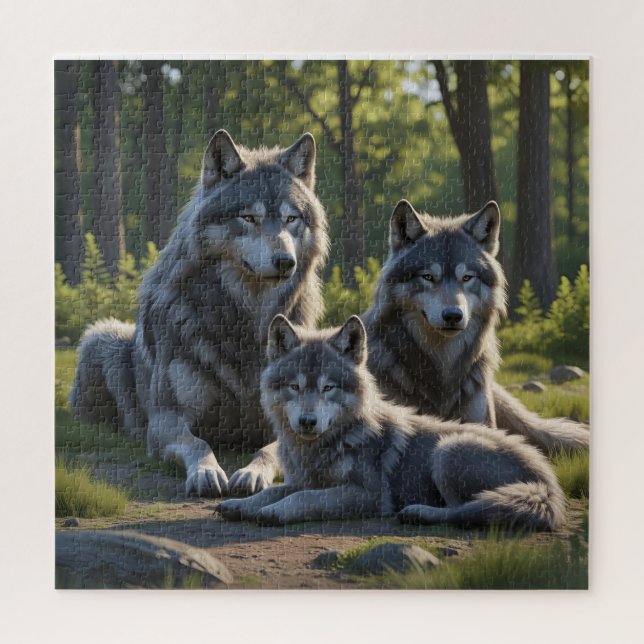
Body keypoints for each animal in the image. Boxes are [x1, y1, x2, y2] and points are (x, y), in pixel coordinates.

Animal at [69, 130, 329, 497]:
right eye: (249, 218)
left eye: (291, 219)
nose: (285, 262)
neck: (244, 321)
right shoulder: (166, 419)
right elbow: (198, 444)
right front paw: (207, 472)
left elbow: (268, 450)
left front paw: (251, 474)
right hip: (102, 337)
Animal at [219, 315, 565, 529]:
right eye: (295, 386)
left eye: (328, 387)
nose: (307, 421)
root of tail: (547, 483)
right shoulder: (301, 479)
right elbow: (276, 491)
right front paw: (241, 504)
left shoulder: (368, 495)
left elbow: (303, 498)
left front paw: (272, 513)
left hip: (448, 451)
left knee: (464, 512)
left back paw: (418, 513)